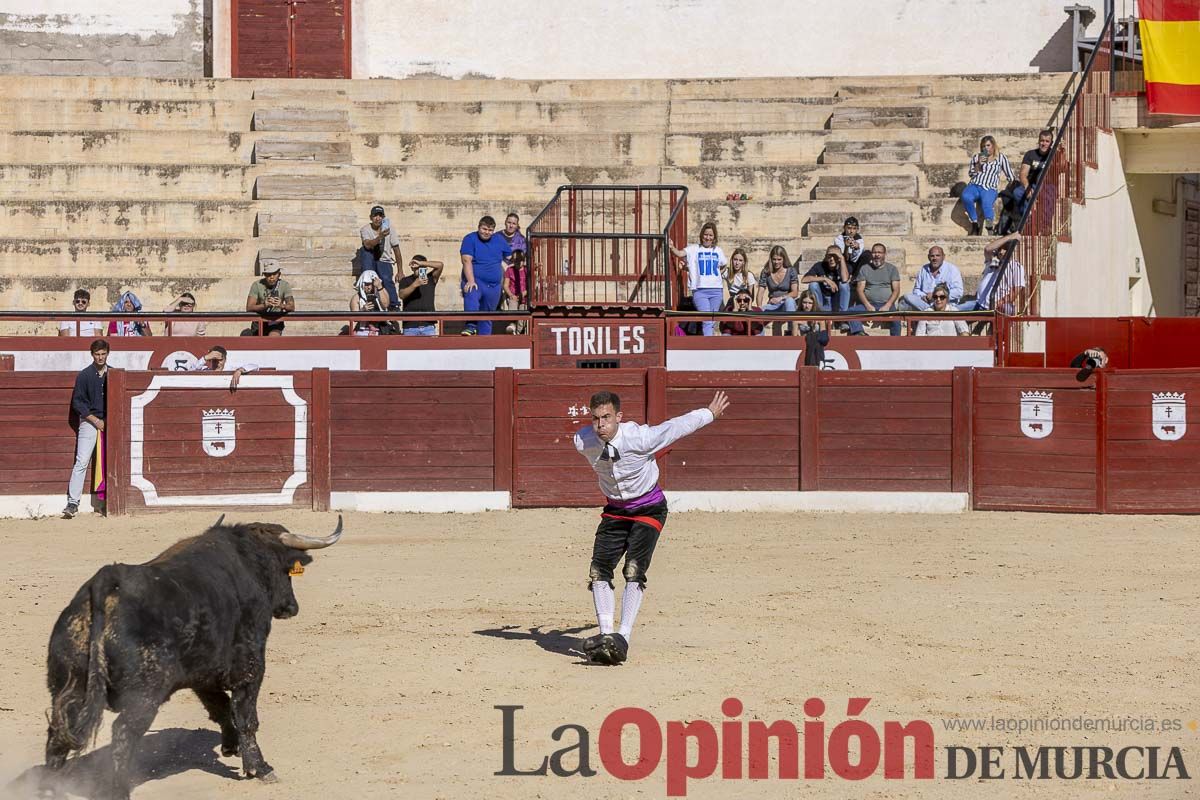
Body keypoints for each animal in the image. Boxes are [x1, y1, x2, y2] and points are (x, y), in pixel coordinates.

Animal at [42, 515, 343, 796]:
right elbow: (245, 716)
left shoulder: (203, 673)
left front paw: (231, 746)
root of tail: (106, 582)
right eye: (287, 572)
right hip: (144, 695)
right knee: (123, 734)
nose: (291, 607)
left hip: (66, 688)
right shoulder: (251, 666)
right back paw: (117, 791)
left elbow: (221, 708)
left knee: (57, 734)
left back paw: (48, 789)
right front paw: (260, 768)